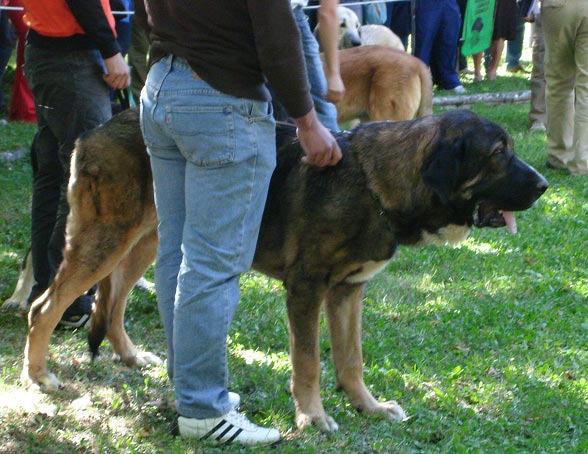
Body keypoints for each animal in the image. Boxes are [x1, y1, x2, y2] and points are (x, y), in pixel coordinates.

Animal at [21, 108, 548, 430]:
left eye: (510, 149)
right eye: (497, 154)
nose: (544, 185)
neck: (375, 182)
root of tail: (93, 131)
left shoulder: (348, 292)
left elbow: (352, 360)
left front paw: (367, 407)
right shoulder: (306, 289)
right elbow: (309, 361)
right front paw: (312, 418)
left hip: (149, 242)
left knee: (116, 302)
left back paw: (130, 357)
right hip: (104, 241)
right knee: (45, 306)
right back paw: (41, 378)